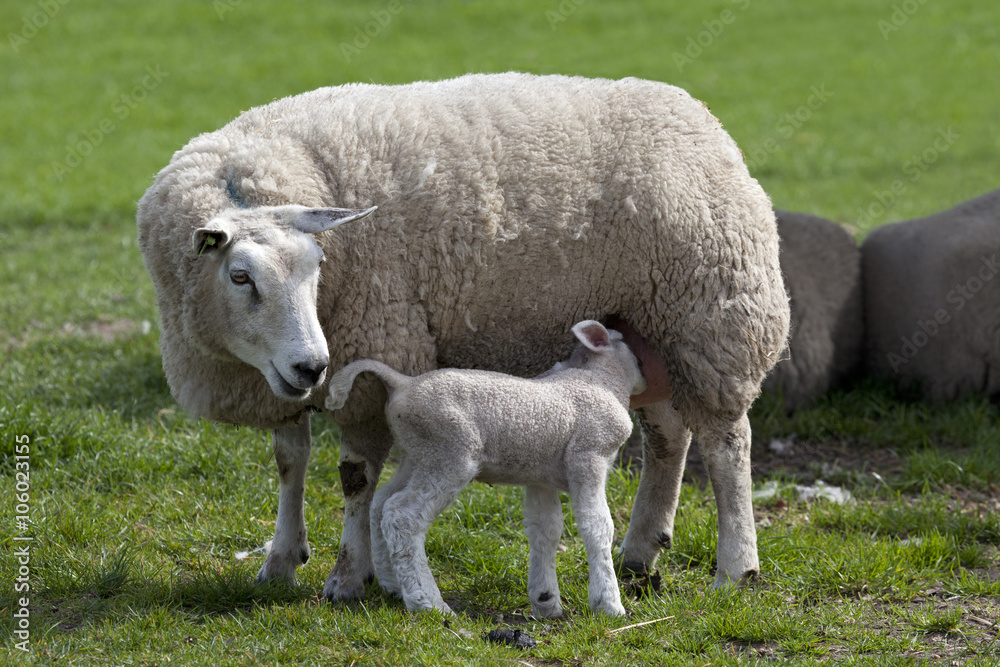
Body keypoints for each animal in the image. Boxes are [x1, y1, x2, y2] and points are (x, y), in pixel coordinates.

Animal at [324, 320, 645, 617]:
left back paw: (392, 585)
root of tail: (403, 383)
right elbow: (598, 526)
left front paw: (546, 601)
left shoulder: (540, 476)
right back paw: (427, 602)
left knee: (381, 503)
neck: (602, 380)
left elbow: (546, 529)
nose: (646, 378)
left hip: (418, 454)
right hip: (451, 451)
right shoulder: (589, 455)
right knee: (401, 515)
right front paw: (609, 604)